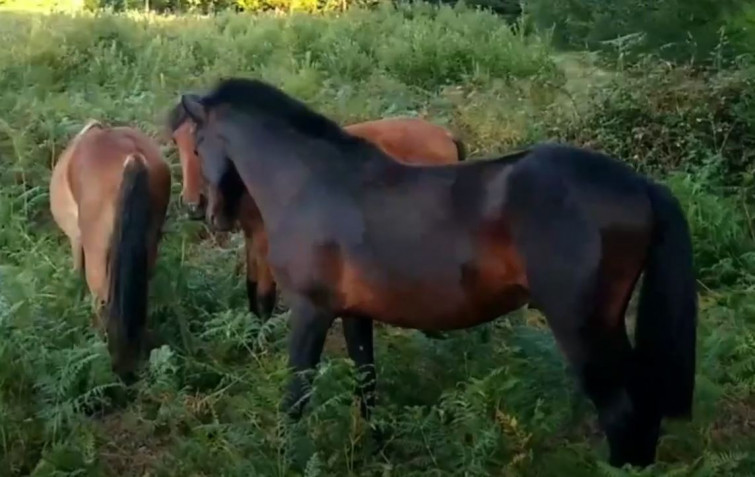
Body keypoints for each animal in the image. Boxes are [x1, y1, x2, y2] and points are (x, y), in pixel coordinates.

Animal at [166, 107, 465, 320]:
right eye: (176, 141)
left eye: (199, 144)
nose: (193, 204)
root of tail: (444, 135)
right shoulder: (251, 236)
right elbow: (251, 287)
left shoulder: (265, 239)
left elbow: (264, 295)